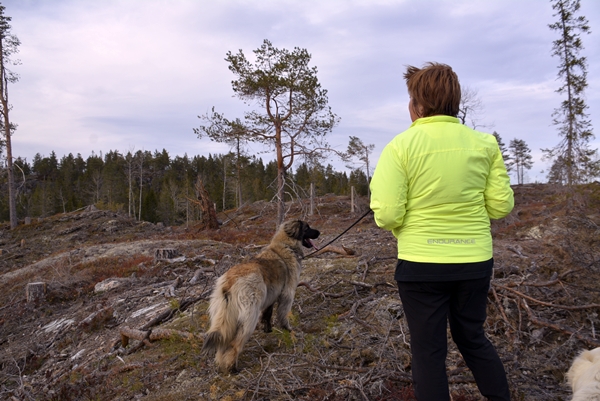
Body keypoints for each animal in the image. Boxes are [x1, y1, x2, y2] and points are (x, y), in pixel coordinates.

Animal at [203, 219, 318, 372]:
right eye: (307, 228)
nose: (319, 232)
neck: (287, 244)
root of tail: (229, 281)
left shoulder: (271, 296)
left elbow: (267, 314)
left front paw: (268, 329)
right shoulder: (287, 293)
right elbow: (283, 314)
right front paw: (288, 329)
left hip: (225, 316)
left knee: (224, 343)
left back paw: (224, 365)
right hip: (249, 314)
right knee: (236, 343)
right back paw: (233, 368)